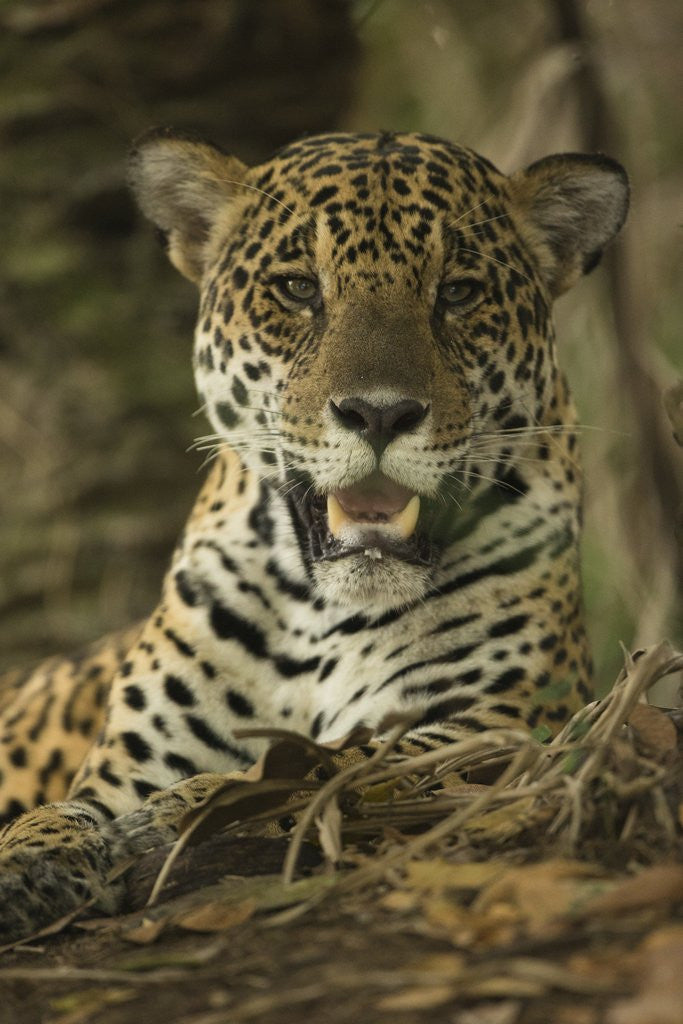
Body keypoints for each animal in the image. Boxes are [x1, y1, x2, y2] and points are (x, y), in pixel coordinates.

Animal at [0, 128, 629, 943]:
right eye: (299, 289)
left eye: (458, 292)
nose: (380, 413)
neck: (321, 613)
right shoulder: (124, 767)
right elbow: (58, 813)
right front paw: (27, 861)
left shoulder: (491, 725)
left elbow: (337, 764)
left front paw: (179, 815)